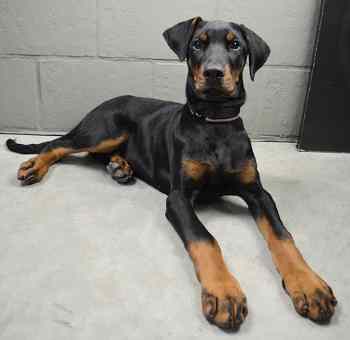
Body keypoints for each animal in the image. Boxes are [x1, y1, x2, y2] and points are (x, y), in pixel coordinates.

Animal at [6, 17, 338, 330]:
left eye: (236, 45)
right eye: (197, 44)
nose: (214, 73)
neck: (214, 123)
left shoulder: (257, 192)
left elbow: (283, 236)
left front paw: (310, 286)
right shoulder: (179, 197)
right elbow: (205, 238)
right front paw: (224, 293)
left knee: (92, 155)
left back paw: (120, 166)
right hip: (105, 130)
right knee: (61, 145)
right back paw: (36, 166)